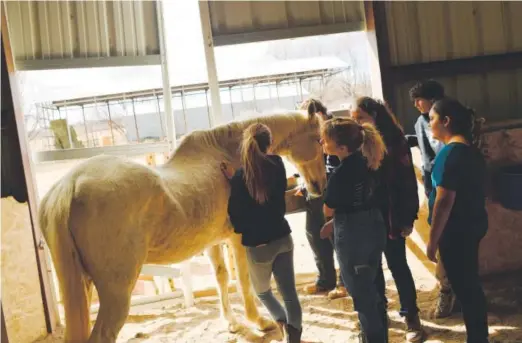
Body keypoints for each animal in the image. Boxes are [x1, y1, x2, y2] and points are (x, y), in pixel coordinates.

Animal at [39, 111, 324, 342]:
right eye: (319, 140)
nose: (318, 186)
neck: (232, 153)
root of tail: (69, 186)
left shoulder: (213, 242)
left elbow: (222, 277)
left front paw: (231, 323)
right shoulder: (237, 239)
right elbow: (244, 281)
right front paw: (260, 322)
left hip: (81, 286)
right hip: (116, 294)